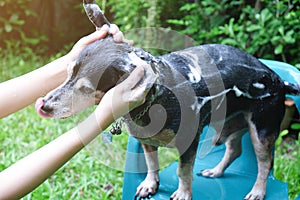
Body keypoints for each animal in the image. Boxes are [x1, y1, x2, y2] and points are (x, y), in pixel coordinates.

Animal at [34, 0, 298, 199]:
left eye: (86, 88)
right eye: (68, 72)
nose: (43, 106)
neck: (155, 100)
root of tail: (278, 79)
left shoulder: (189, 143)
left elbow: (183, 171)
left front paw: (183, 193)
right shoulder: (146, 141)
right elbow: (152, 164)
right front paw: (150, 185)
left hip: (262, 130)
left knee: (265, 163)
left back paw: (257, 191)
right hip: (225, 123)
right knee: (234, 149)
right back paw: (216, 171)